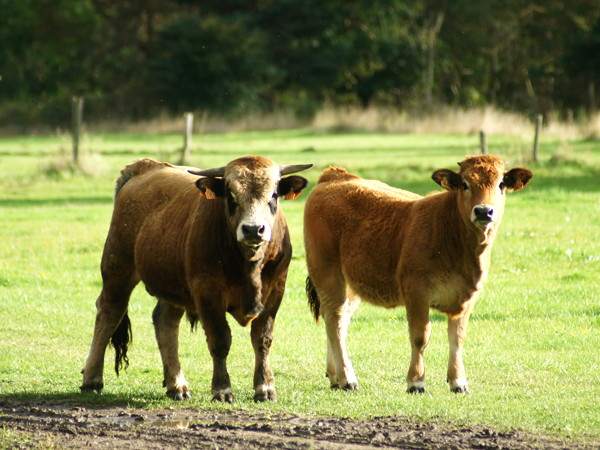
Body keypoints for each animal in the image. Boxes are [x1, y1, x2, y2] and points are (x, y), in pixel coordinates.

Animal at [79, 156, 312, 402]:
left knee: (165, 321)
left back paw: (177, 385)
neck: (249, 264)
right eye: (230, 194)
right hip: (117, 268)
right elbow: (220, 340)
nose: (253, 229)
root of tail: (147, 167)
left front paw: (265, 388)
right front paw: (222, 389)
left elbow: (262, 339)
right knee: (109, 313)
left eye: (274, 194)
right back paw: (92, 379)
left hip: (171, 284)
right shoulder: (207, 291)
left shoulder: (276, 289)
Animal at [308, 156, 532, 394]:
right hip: (327, 274)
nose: (483, 211)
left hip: (350, 284)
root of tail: (335, 175)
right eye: (465, 184)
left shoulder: (469, 295)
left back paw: (335, 375)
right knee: (335, 321)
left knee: (339, 320)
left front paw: (458, 381)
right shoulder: (416, 290)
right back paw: (347, 378)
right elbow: (420, 336)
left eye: (501, 184)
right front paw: (416, 381)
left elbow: (458, 337)